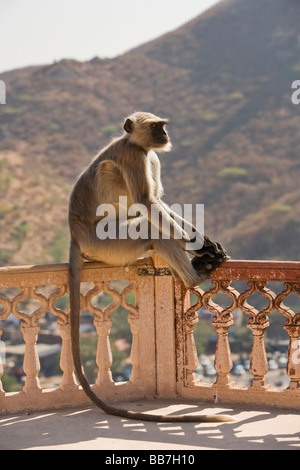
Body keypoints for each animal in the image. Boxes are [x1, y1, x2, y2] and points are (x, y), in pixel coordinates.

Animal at [68, 111, 232, 422]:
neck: (134, 142)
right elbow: (148, 203)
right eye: (157, 127)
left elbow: (159, 203)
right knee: (150, 227)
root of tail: (75, 234)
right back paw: (195, 276)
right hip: (106, 243)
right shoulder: (135, 155)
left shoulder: (150, 156)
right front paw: (200, 246)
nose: (165, 135)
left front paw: (205, 242)